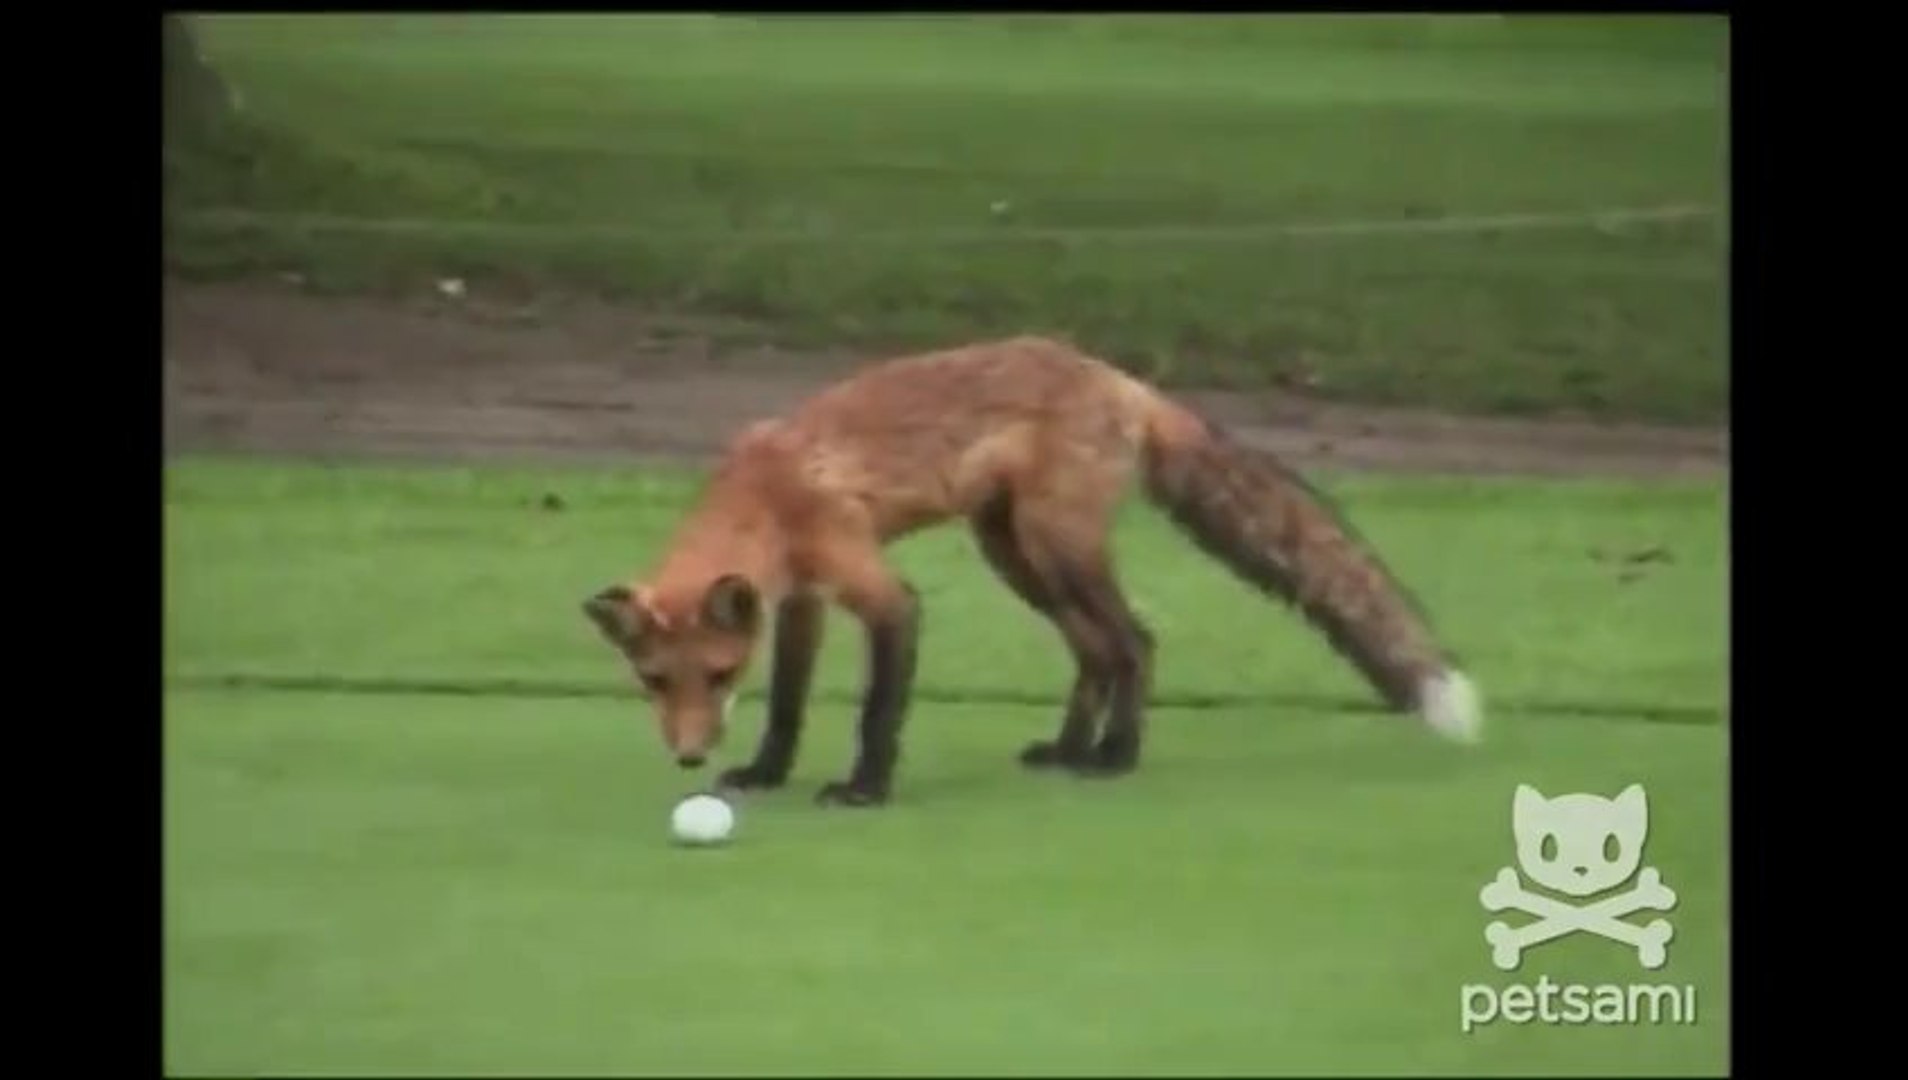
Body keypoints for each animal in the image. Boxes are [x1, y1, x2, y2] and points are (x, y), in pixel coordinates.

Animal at [582, 335, 1482, 807]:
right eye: (656, 681)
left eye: (717, 673)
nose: (688, 758)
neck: (766, 493)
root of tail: (1121, 378)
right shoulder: (802, 597)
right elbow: (788, 705)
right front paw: (767, 773)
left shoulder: (880, 592)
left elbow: (878, 709)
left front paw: (865, 788)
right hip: (1012, 553)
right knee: (1095, 651)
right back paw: (1069, 749)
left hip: (1056, 547)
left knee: (1136, 642)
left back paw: (1115, 757)